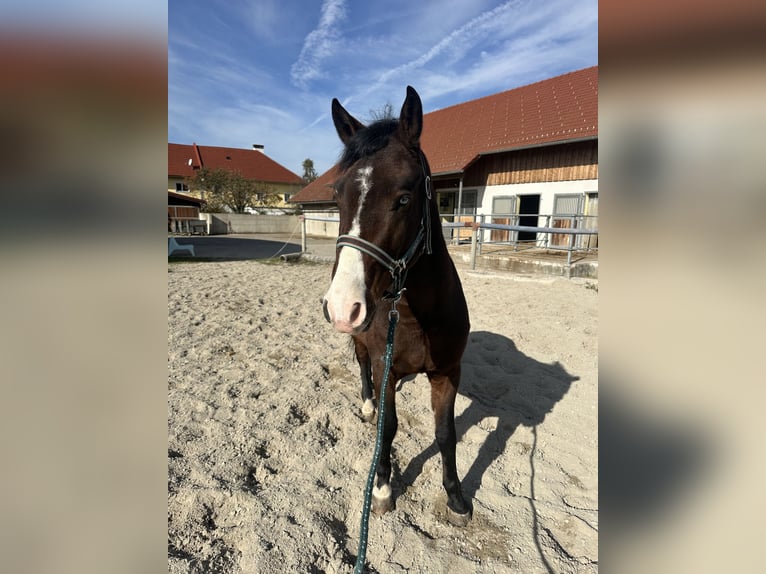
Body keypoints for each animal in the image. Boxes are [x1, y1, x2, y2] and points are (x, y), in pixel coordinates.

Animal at [321, 86, 472, 526]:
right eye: (337, 196)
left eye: (404, 198)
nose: (343, 305)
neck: (416, 316)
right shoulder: (383, 366)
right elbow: (388, 427)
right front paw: (383, 486)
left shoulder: (448, 373)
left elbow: (446, 434)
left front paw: (456, 498)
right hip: (360, 342)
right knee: (361, 368)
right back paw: (368, 404)